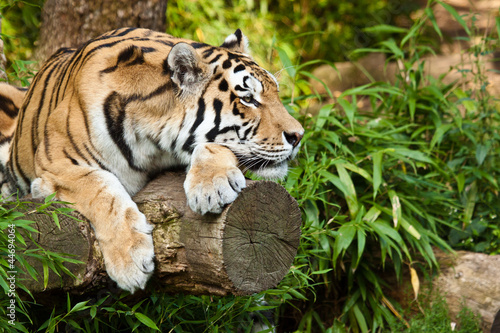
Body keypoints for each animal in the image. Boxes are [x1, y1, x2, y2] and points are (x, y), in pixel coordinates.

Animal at [0, 27, 302, 292]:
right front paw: (131, 263)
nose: (298, 135)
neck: (155, 142)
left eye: (276, 93)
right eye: (248, 99)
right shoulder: (55, 165)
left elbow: (219, 145)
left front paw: (211, 187)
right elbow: (102, 189)